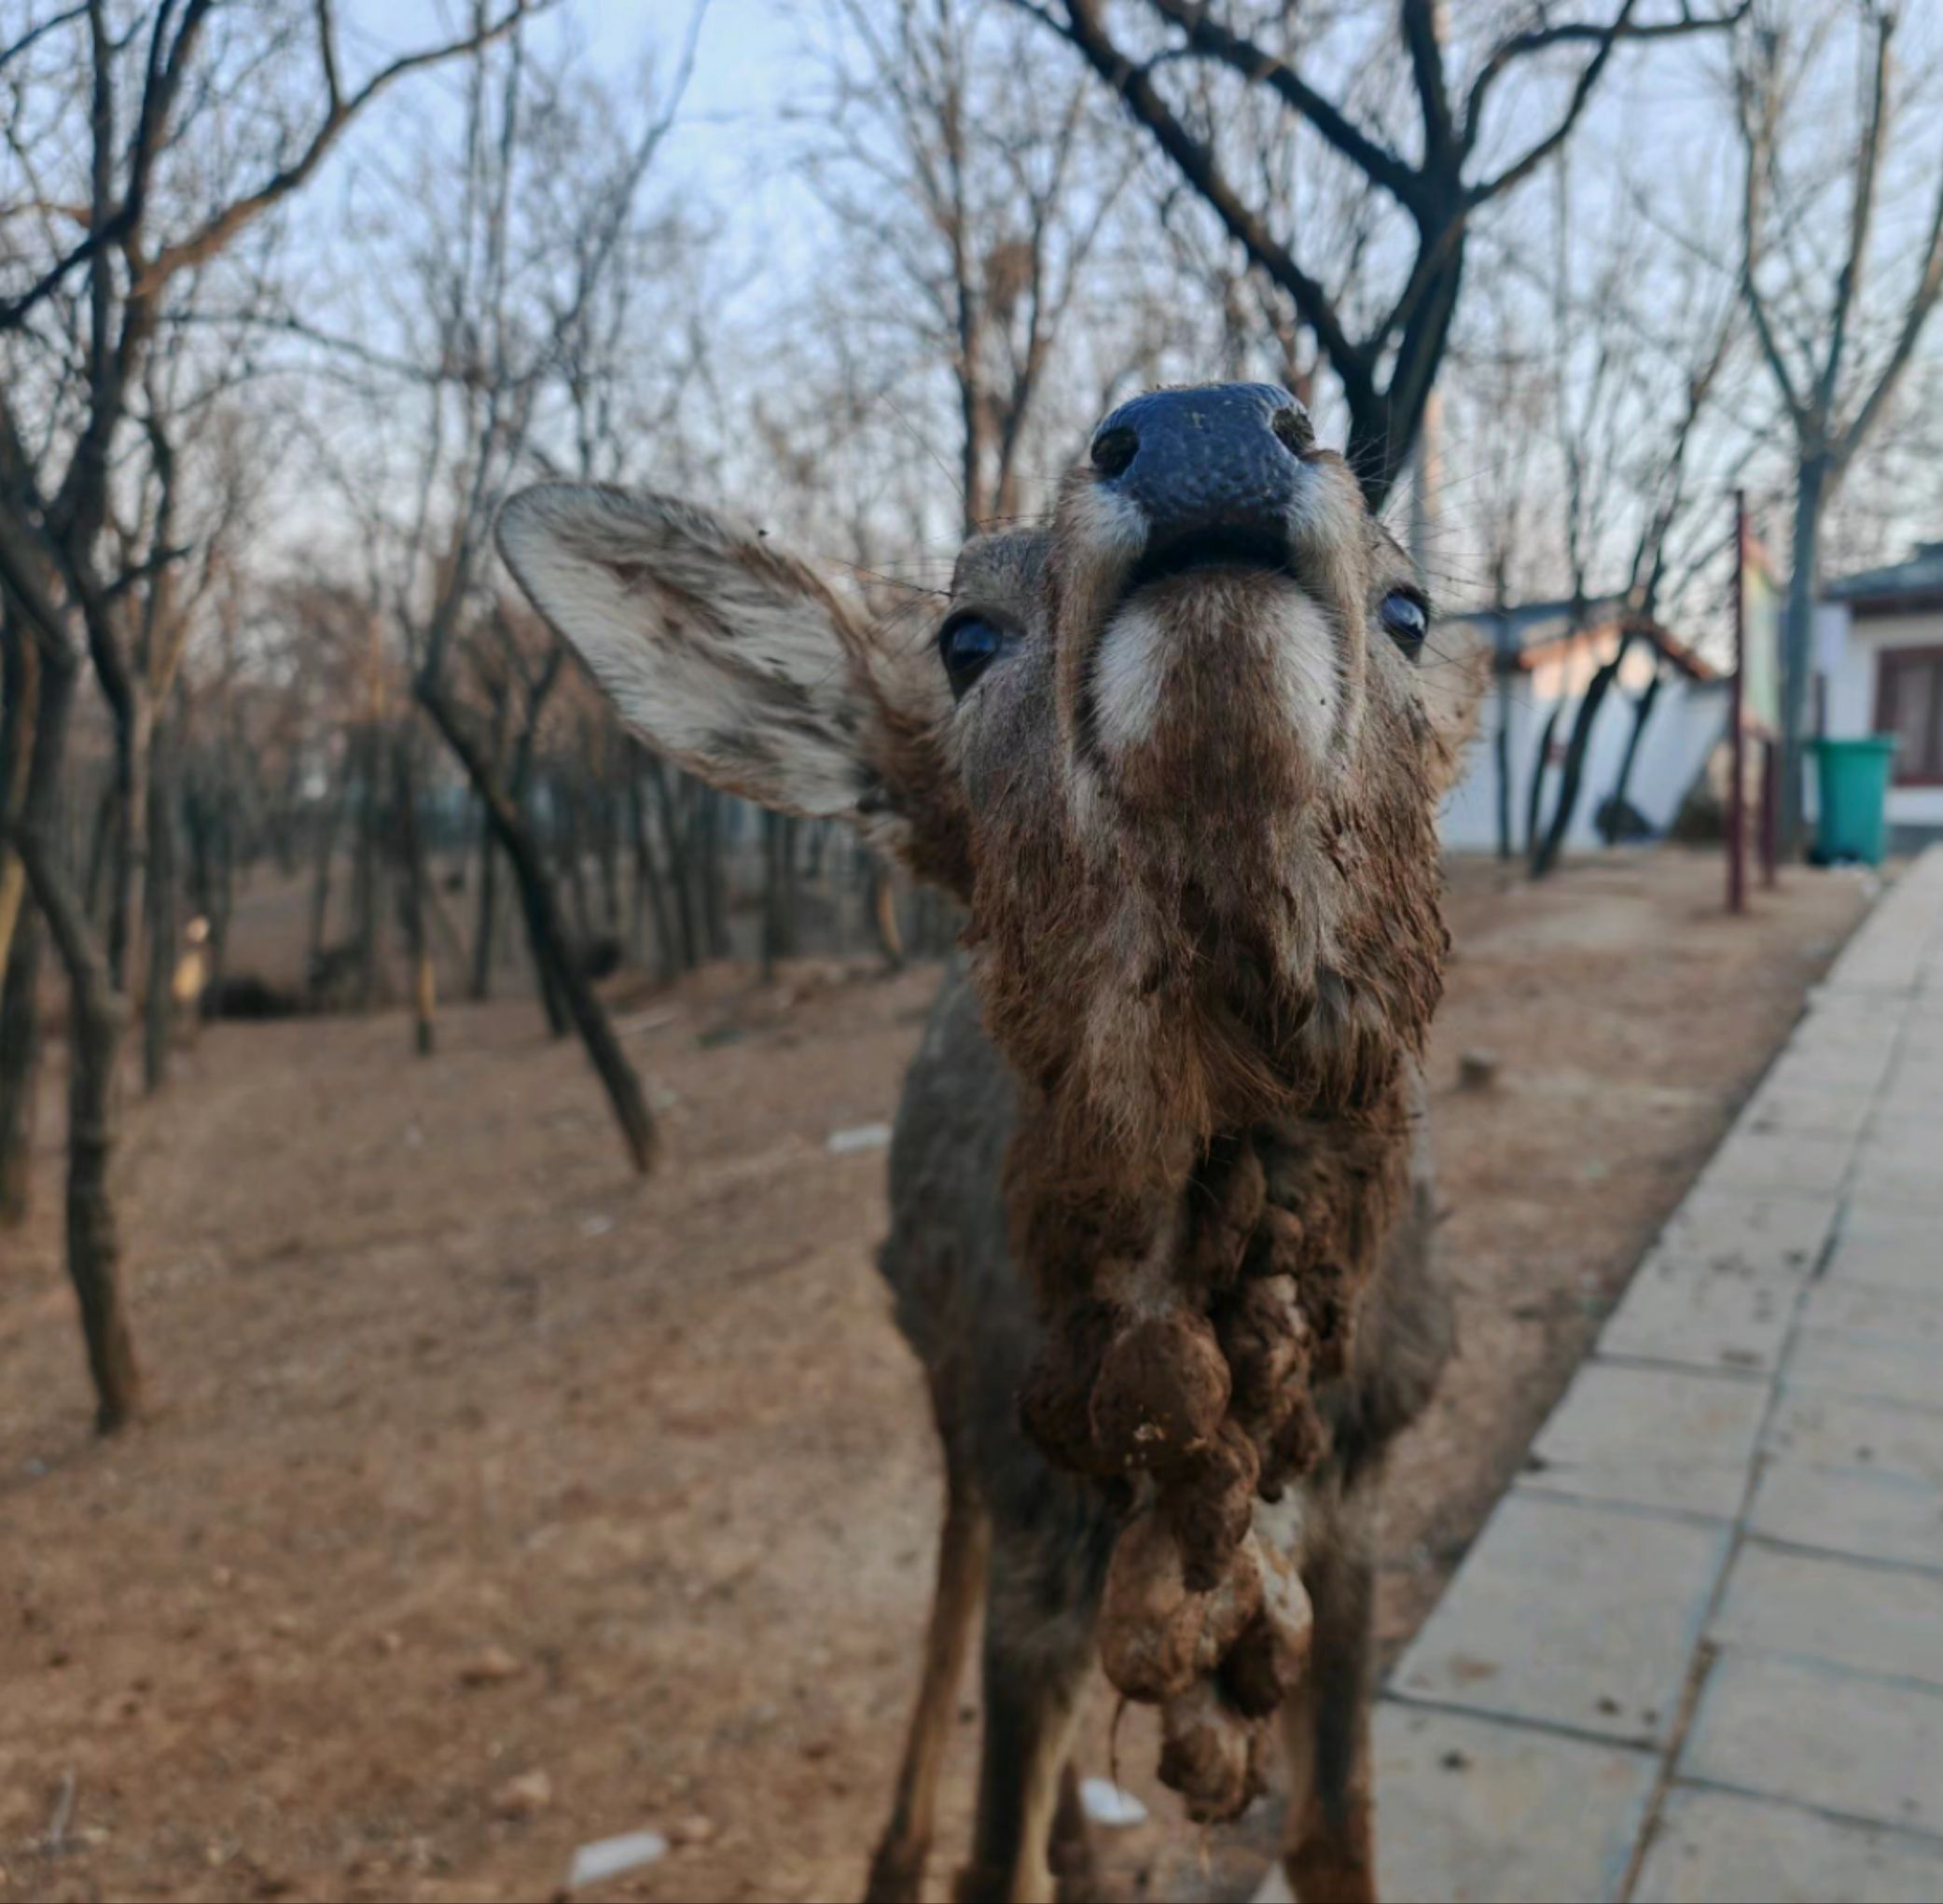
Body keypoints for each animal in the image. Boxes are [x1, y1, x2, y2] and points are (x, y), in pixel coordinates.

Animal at [496, 382, 1483, 1904]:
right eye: (964, 636)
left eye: (1412, 605)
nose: (1201, 423)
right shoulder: (1030, 1504)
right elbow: (992, 1841)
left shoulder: (1360, 1493)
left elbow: (1334, 1835)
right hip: (952, 1390)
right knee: (951, 1590)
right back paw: (899, 1848)